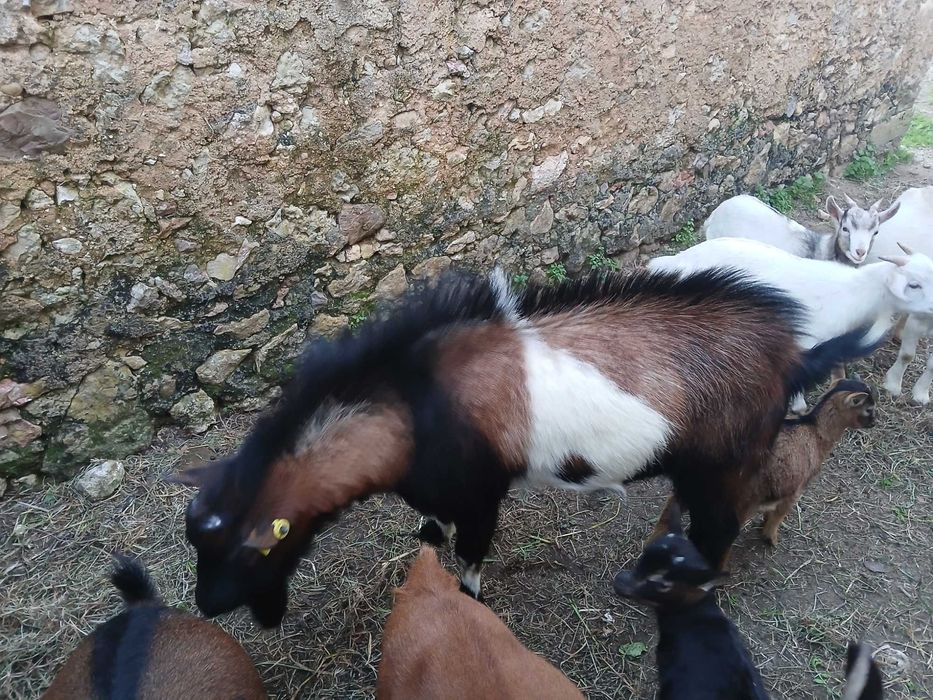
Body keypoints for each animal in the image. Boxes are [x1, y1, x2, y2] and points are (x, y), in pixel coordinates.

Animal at [652, 378, 876, 554]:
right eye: (869, 409)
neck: (814, 430)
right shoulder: (796, 489)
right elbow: (779, 515)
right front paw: (770, 538)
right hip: (737, 502)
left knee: (667, 517)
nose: (874, 423)